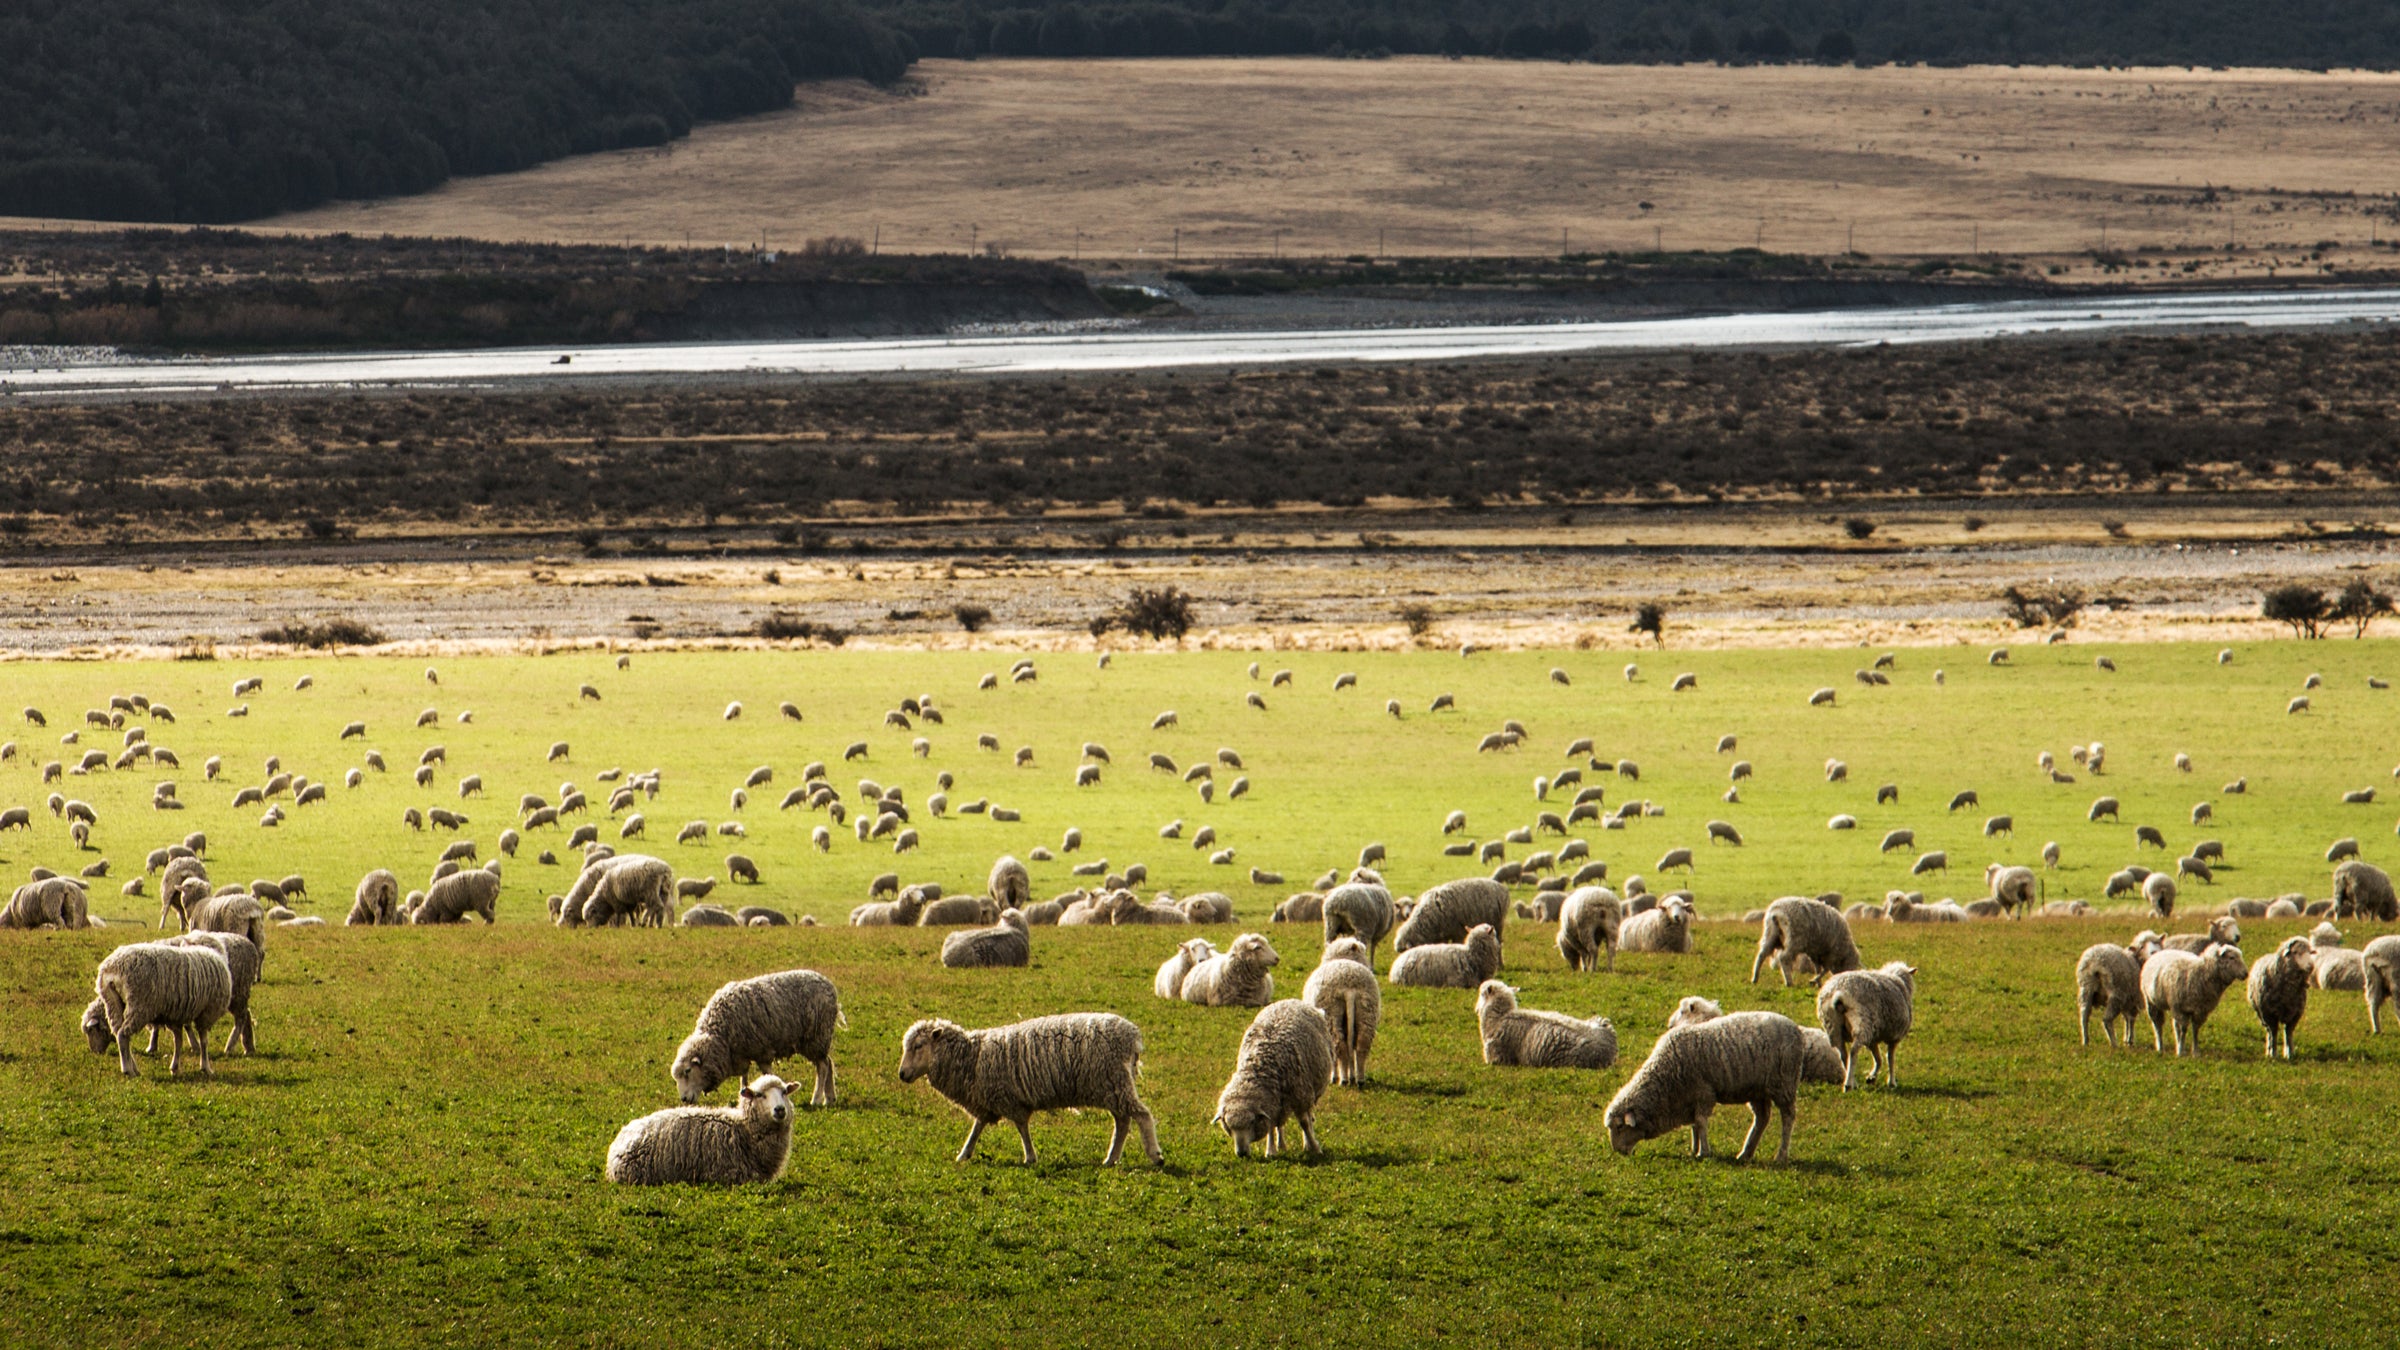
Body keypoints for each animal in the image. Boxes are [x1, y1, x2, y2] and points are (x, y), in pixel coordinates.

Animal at [88, 940, 233, 1077]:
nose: (95, 1052)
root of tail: (114, 967)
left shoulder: (176, 1015)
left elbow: (178, 1041)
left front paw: (175, 1067)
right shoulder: (207, 1013)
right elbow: (204, 1042)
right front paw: (206, 1067)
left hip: (113, 1003)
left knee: (119, 1033)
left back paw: (134, 1068)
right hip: (139, 1006)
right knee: (123, 1035)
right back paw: (128, 1070)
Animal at [898, 1013, 1161, 1165]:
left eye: (918, 1045)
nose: (901, 1074)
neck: (972, 1057)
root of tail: (1132, 1036)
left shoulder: (1008, 1098)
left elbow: (1022, 1127)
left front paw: (1030, 1157)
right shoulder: (986, 1099)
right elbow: (977, 1127)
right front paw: (964, 1154)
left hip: (1114, 1081)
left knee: (1141, 1115)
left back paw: (1155, 1155)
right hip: (1112, 1086)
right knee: (1123, 1122)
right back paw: (1111, 1159)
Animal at [1211, 1000, 1336, 1159]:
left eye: (1252, 1122)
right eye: (1228, 1125)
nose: (1241, 1153)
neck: (1259, 1066)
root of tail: (1289, 1000)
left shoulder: (1300, 1096)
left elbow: (1304, 1123)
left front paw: (1315, 1148)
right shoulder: (1270, 1103)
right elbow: (1270, 1125)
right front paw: (1271, 1150)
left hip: (1309, 1092)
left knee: (1308, 1118)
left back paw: (1308, 1142)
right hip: (1281, 1101)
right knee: (1279, 1124)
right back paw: (1281, 1145)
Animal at [1604, 1011, 1804, 1163]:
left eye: (1620, 1127)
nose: (1617, 1151)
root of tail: (1795, 1029)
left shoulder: (1703, 1093)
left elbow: (1700, 1122)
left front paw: (1704, 1152)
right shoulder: (1690, 1096)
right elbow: (1694, 1125)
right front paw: (1694, 1149)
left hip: (1784, 1083)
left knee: (1788, 1118)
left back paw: (1781, 1156)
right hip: (1758, 1090)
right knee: (1762, 1118)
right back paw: (1745, 1154)